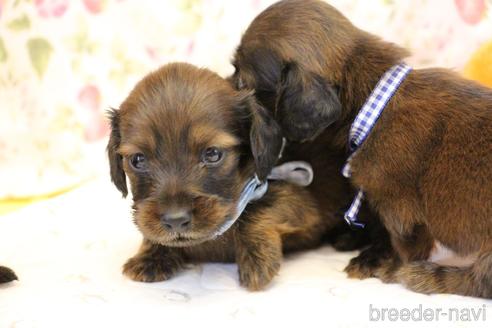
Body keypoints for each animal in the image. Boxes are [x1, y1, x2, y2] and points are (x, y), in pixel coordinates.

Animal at [108, 62, 354, 290]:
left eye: (213, 154)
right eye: (138, 160)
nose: (175, 220)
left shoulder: (300, 202)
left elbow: (257, 211)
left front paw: (257, 258)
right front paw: (151, 255)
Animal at [232, 0, 492, 298]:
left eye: (242, 81)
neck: (373, 99)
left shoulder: (399, 209)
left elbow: (403, 245)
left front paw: (383, 264)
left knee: (478, 280)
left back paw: (424, 276)